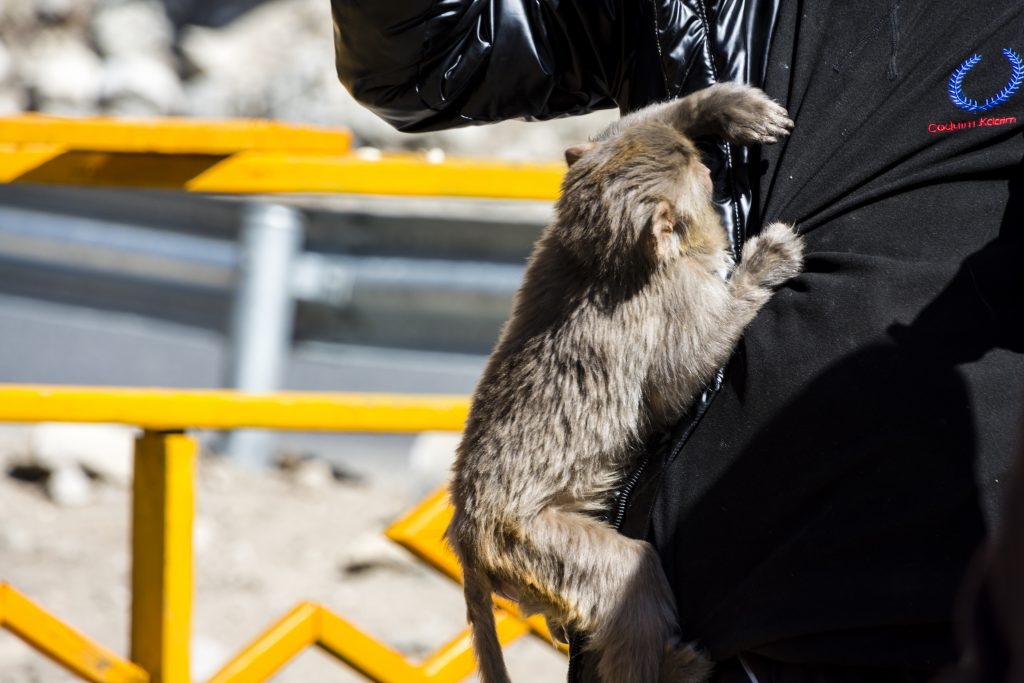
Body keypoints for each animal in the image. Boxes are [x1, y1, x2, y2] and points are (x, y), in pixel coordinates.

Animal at [444, 82, 802, 679]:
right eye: (698, 174)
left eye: (690, 156)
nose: (705, 160)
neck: (607, 261)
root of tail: (467, 534)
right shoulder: (671, 298)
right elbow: (680, 379)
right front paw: (761, 266)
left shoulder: (558, 239)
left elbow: (622, 131)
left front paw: (720, 107)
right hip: (535, 542)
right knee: (631, 579)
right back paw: (673, 668)